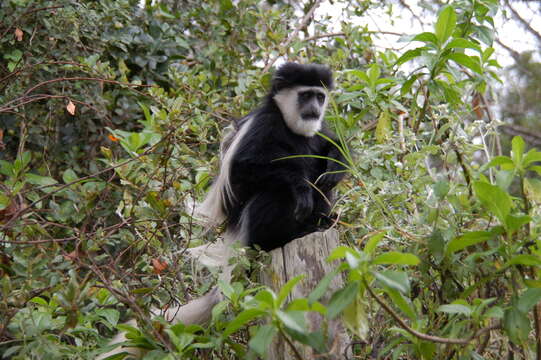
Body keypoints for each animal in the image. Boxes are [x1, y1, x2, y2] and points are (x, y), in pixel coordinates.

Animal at [97, 62, 344, 360]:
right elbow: (244, 169)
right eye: (305, 95)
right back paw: (290, 232)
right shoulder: (264, 126)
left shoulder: (316, 130)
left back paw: (323, 220)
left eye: (320, 96)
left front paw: (337, 165)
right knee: (275, 192)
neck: (291, 126)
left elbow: (330, 149)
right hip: (254, 228)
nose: (315, 109)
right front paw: (300, 187)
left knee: (322, 180)